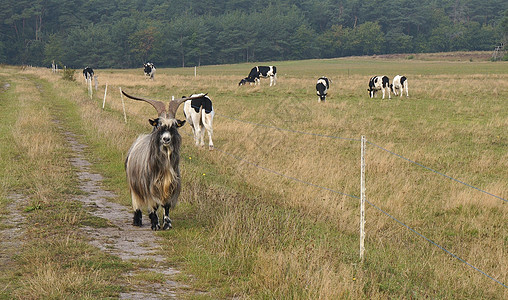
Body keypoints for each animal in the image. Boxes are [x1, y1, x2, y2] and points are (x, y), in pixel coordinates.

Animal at [122, 90, 201, 231]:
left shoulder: (170, 186)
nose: (166, 139)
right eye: (158, 125)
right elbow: (153, 205)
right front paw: (155, 224)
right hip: (134, 184)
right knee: (137, 202)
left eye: (175, 125)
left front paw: (167, 224)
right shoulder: (149, 186)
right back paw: (137, 220)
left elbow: (166, 206)